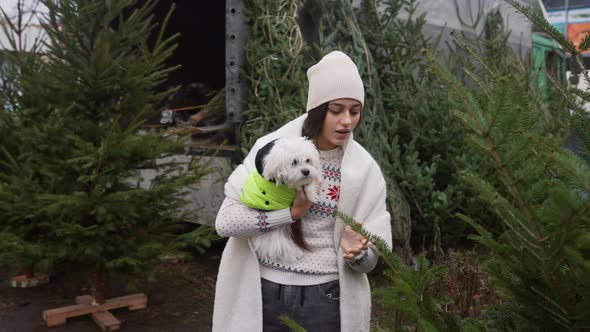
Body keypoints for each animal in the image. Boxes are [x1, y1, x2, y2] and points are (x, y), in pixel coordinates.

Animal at [246, 136, 324, 264]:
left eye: (308, 160)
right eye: (294, 162)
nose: (306, 171)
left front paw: (311, 191)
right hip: (274, 234)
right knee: (280, 245)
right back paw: (296, 253)